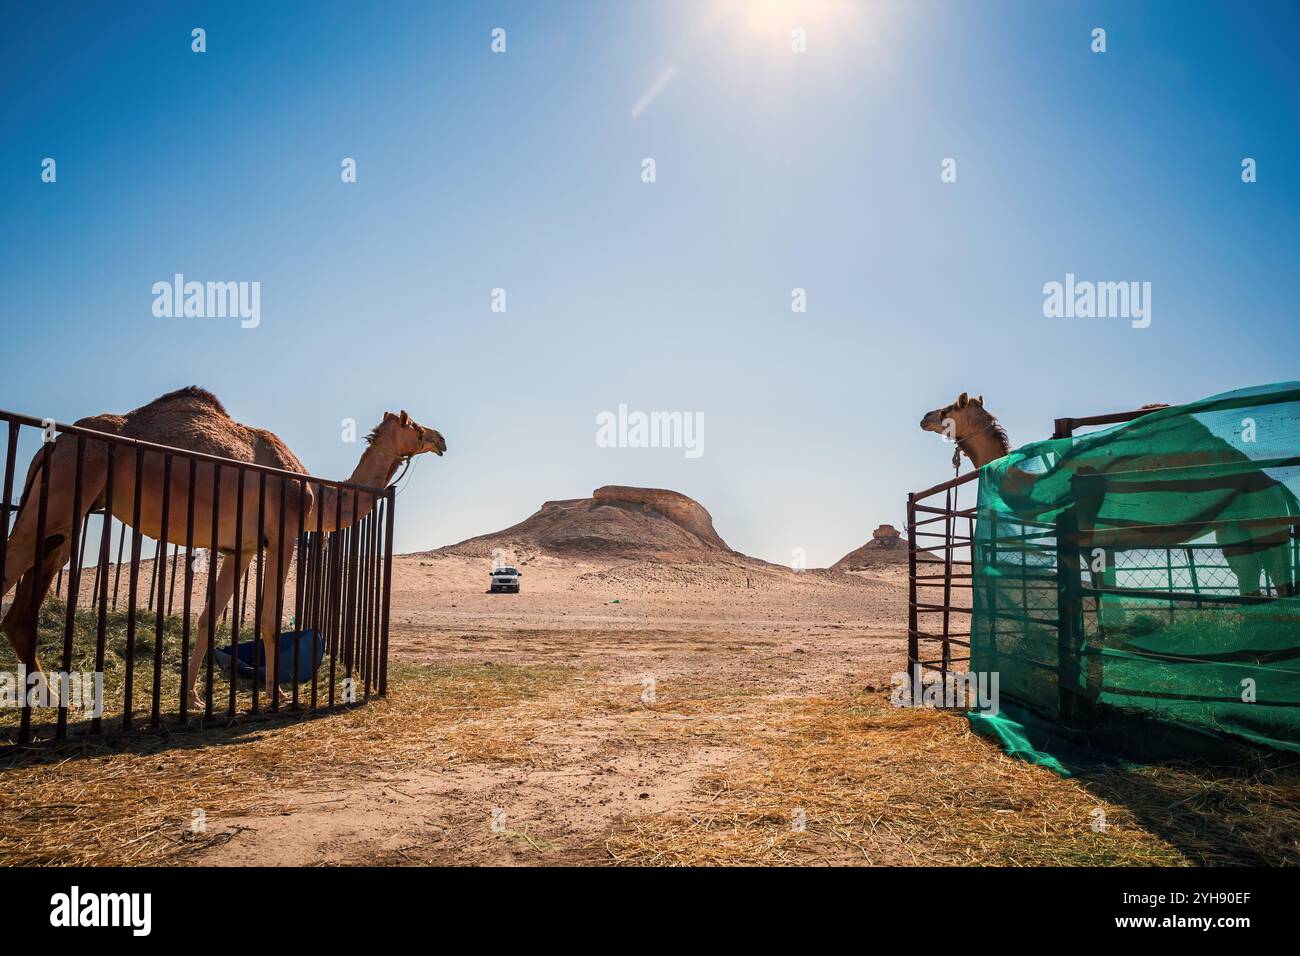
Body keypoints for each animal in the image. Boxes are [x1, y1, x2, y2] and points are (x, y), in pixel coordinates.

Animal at [1, 390, 447, 712]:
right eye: (414, 424)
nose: (440, 439)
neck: (315, 494)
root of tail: (54, 444)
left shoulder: (241, 548)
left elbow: (207, 618)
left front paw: (192, 697)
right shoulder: (283, 533)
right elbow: (268, 619)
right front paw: (277, 694)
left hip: (60, 515)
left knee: (25, 600)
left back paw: (50, 697)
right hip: (67, 487)